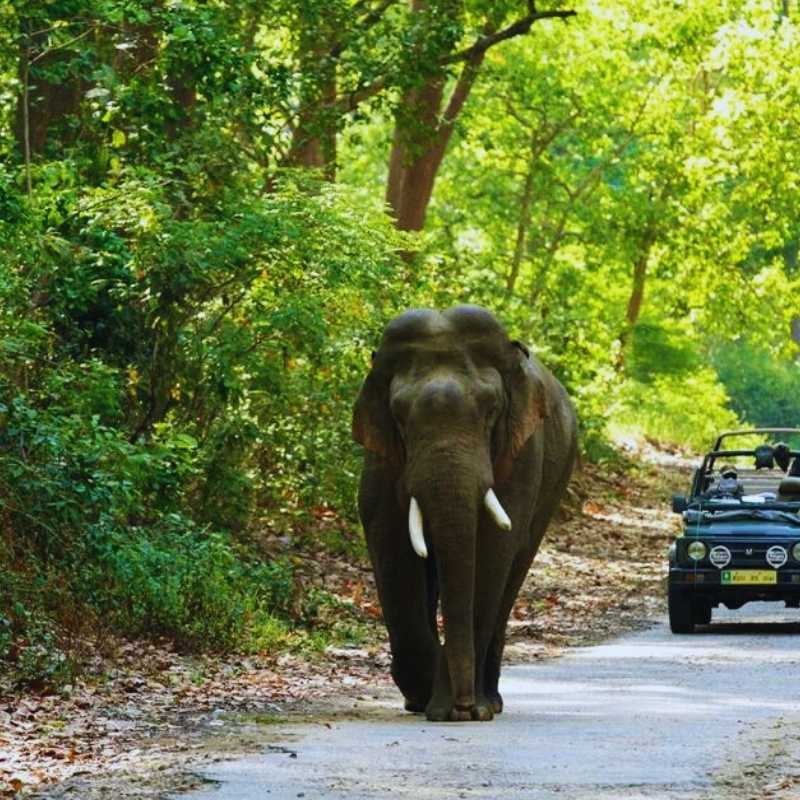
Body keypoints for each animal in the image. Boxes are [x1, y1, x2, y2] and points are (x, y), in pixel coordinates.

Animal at [352, 304, 576, 720]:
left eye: (491, 411)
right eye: (399, 415)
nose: (462, 705)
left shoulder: (522, 453)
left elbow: (493, 549)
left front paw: (461, 710)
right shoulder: (381, 457)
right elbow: (390, 543)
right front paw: (429, 698)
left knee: (512, 575)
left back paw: (492, 701)